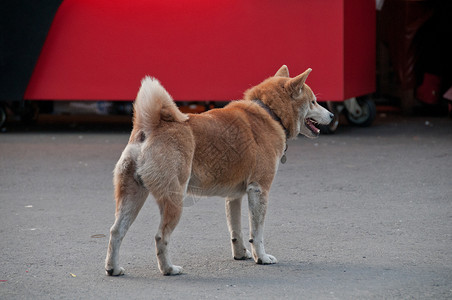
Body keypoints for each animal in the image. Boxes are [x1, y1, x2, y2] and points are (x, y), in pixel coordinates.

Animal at [105, 64, 332, 276]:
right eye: (313, 102)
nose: (331, 115)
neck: (270, 113)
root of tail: (150, 127)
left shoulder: (234, 196)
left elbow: (236, 230)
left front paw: (240, 254)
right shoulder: (259, 190)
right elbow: (257, 233)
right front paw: (262, 257)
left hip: (132, 197)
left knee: (116, 232)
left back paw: (113, 268)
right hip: (174, 200)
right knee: (161, 236)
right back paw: (169, 269)